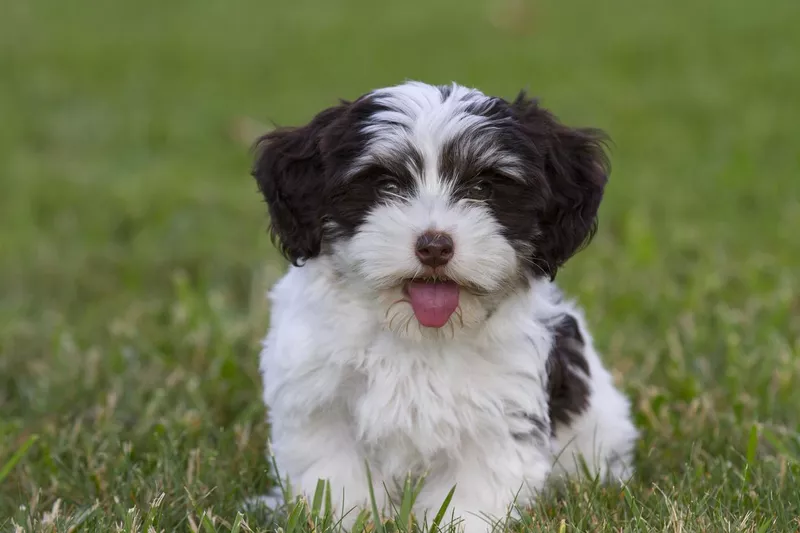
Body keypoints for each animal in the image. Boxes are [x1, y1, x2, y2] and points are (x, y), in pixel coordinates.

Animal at [250, 81, 636, 528]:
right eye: (386, 186)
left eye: (483, 189)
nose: (434, 246)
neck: (416, 332)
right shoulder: (320, 401)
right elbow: (334, 476)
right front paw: (343, 519)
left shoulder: (499, 413)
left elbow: (472, 491)